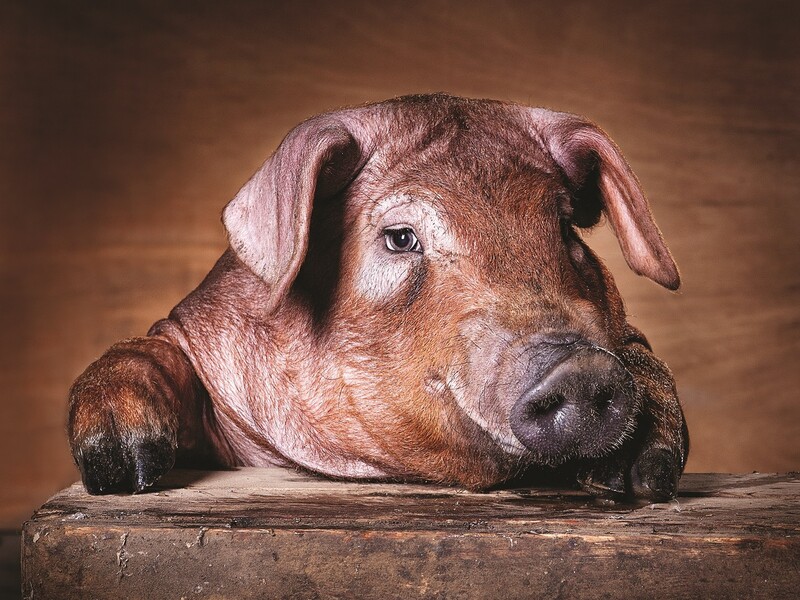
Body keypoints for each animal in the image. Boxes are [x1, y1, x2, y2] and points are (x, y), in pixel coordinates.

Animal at [69, 95, 692, 502]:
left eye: (564, 227)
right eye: (399, 237)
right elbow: (149, 351)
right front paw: (122, 471)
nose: (581, 367)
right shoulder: (193, 333)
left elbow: (641, 355)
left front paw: (638, 476)